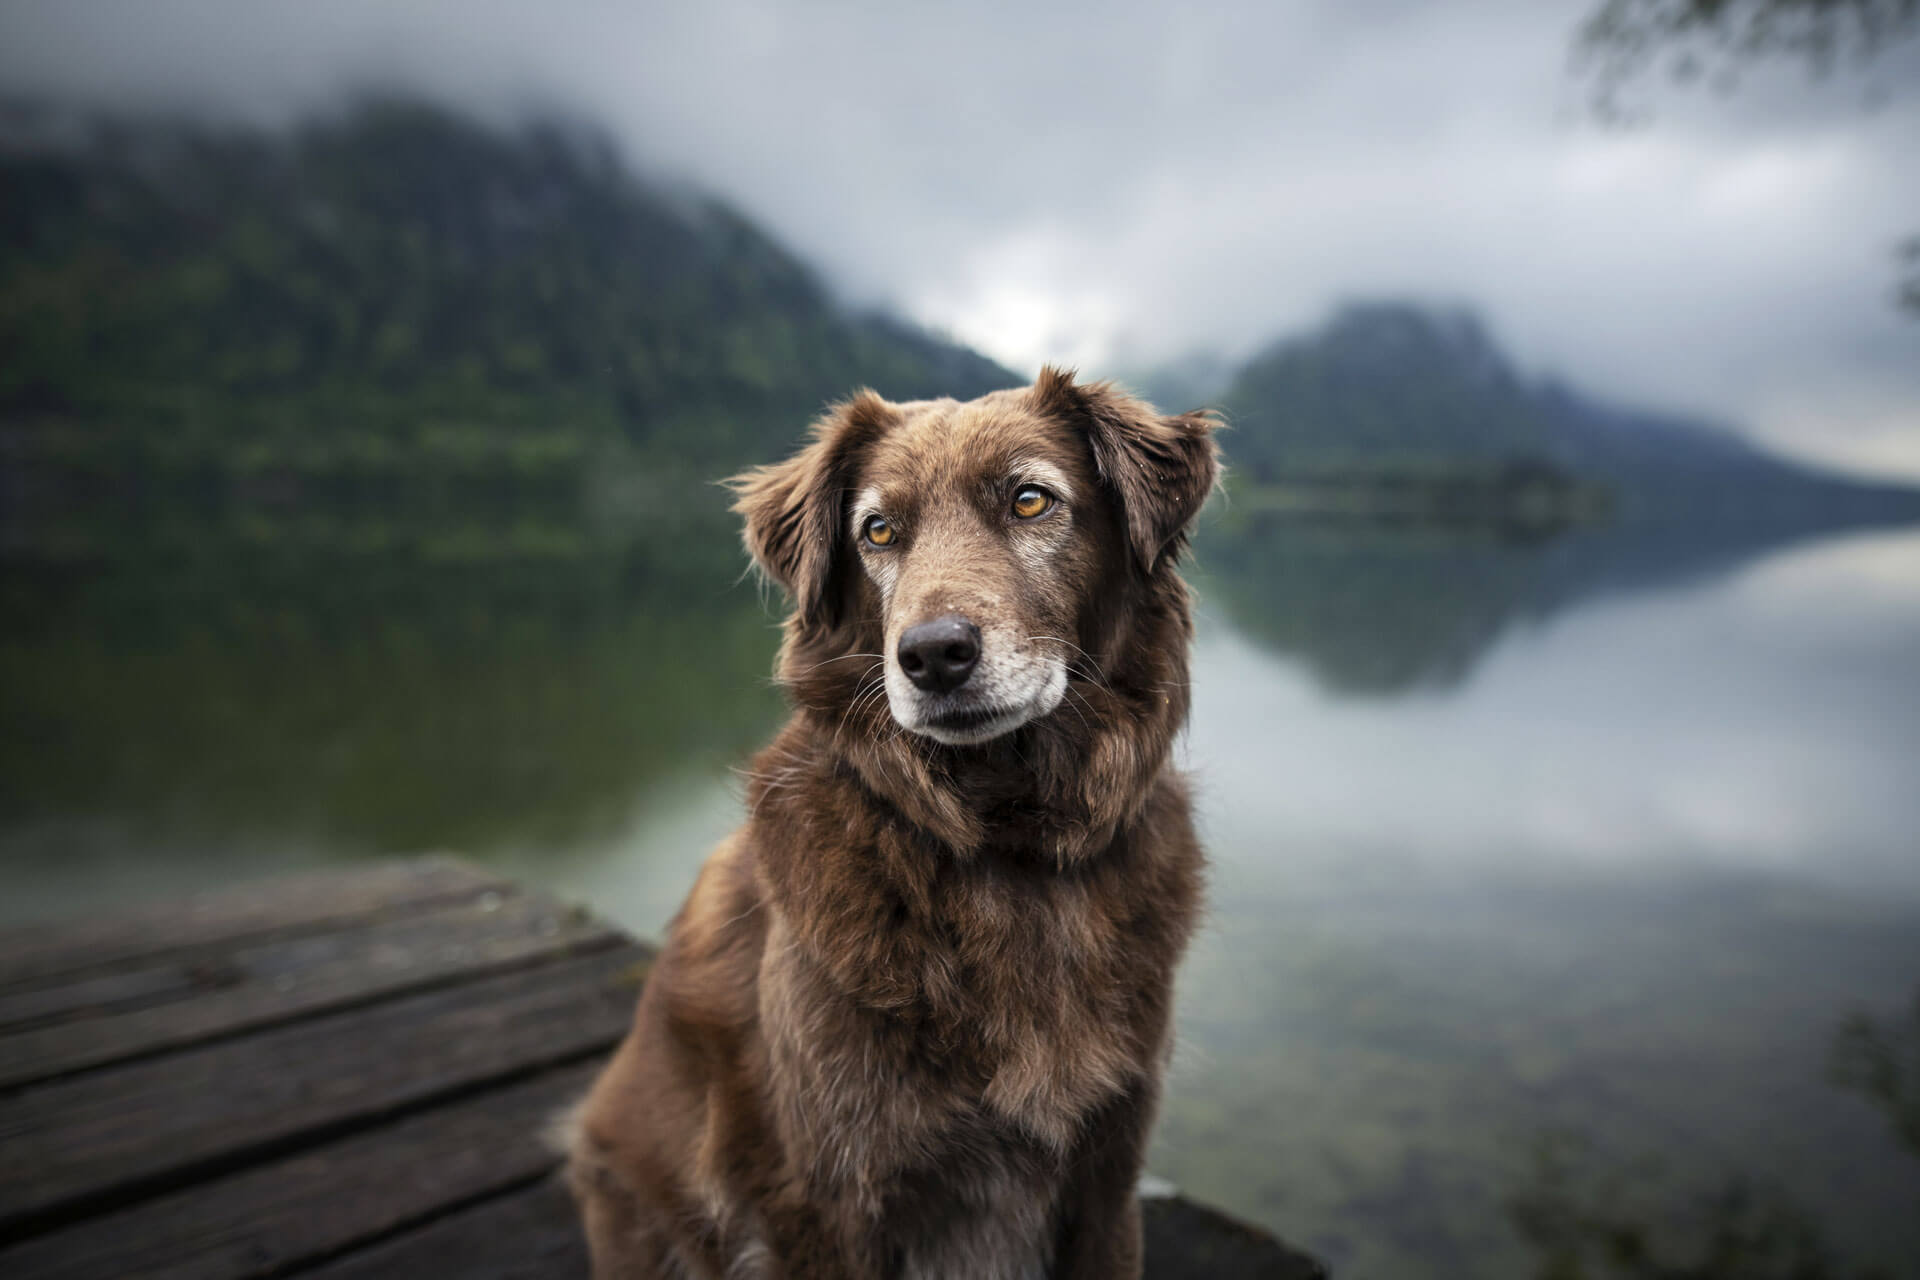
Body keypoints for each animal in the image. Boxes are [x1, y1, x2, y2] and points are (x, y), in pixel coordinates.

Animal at [568, 364, 1221, 1274]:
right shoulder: (828, 1199)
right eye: (878, 530)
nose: (933, 655)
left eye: (1030, 500)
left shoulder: (1108, 1181)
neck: (1006, 839)